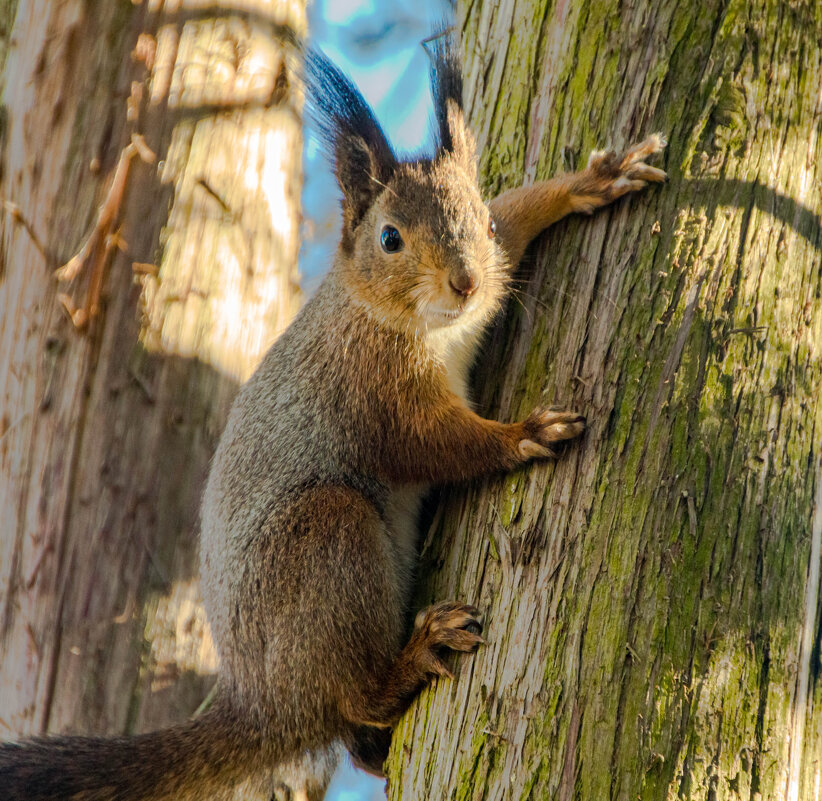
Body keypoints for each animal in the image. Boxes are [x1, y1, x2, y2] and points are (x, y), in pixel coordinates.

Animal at [0, 32, 668, 800]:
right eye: (389, 239)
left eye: (478, 216)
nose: (466, 281)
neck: (411, 321)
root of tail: (265, 705)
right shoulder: (372, 391)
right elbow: (438, 444)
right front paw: (524, 434)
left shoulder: (495, 261)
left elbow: (522, 218)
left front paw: (592, 180)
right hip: (326, 540)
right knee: (356, 694)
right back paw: (414, 655)